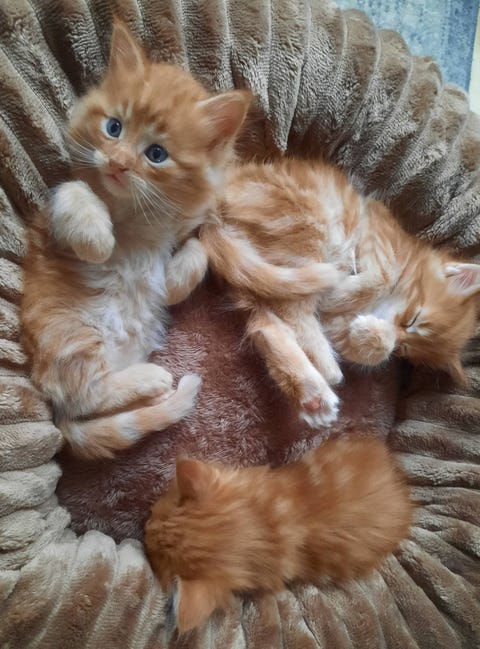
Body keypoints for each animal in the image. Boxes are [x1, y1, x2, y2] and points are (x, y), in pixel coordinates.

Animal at [20, 21, 250, 458]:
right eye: (114, 127)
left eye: (156, 153)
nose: (118, 163)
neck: (136, 219)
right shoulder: (54, 215)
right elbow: (75, 192)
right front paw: (98, 241)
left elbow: (193, 253)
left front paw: (190, 256)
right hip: (71, 333)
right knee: (87, 395)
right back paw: (153, 381)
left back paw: (154, 392)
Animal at [166, 158, 480, 427]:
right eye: (413, 319)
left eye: (406, 350)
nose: (395, 334)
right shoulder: (376, 233)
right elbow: (380, 276)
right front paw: (345, 293)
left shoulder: (337, 325)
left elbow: (364, 346)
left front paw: (370, 335)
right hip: (311, 223)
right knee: (294, 308)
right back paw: (326, 368)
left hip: (257, 280)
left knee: (266, 324)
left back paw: (314, 392)